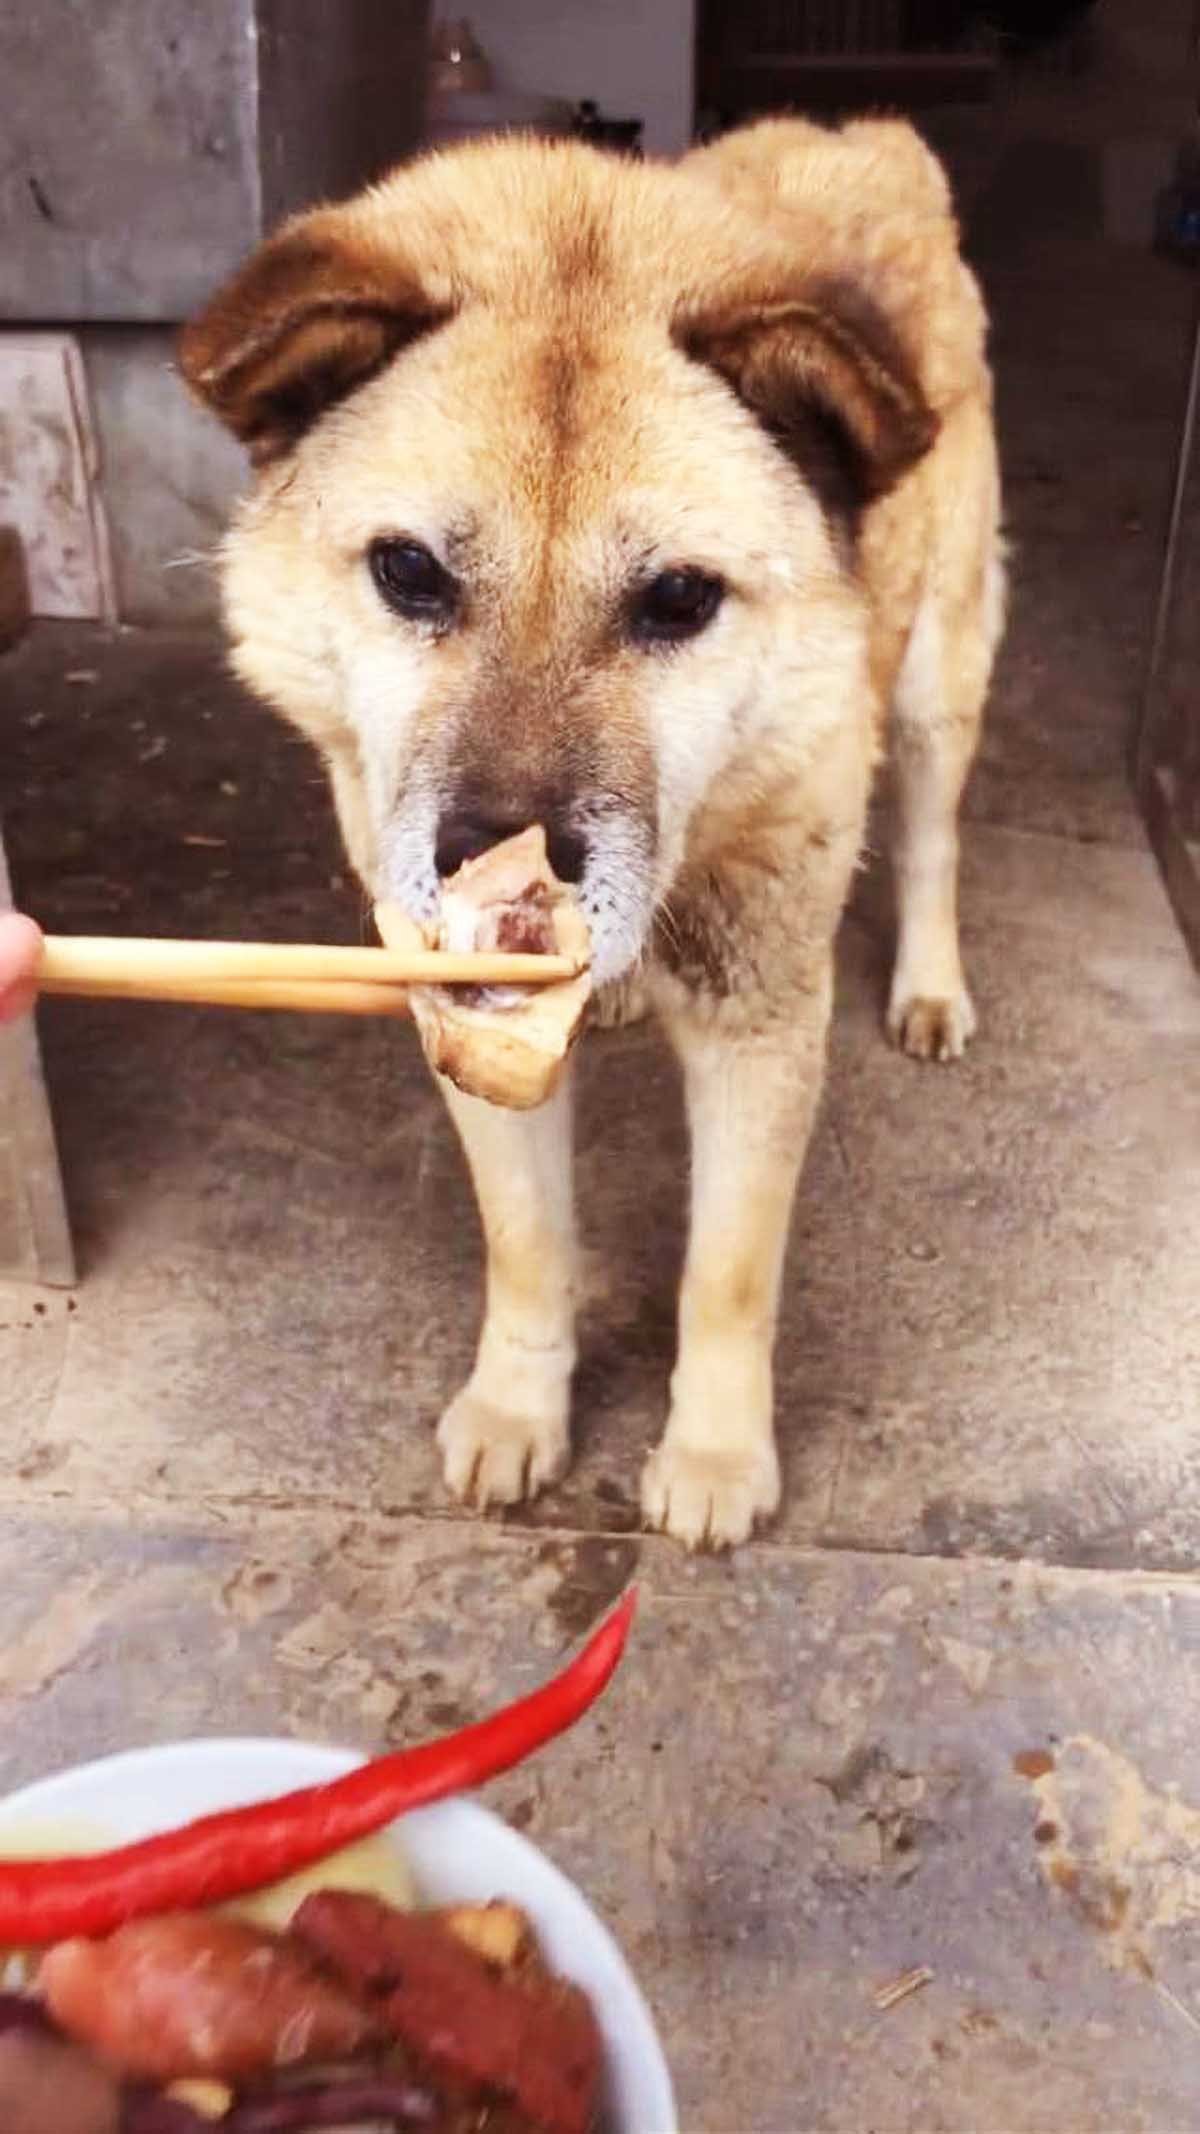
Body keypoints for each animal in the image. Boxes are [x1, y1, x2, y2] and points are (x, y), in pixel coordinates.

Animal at [177, 116, 999, 1553]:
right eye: (409, 571)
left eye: (677, 597)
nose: (492, 867)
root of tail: (856, 135)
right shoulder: (468, 1026)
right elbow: (527, 1245)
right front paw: (520, 1408)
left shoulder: (760, 1022)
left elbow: (727, 1274)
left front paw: (716, 1454)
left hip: (938, 672)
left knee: (933, 832)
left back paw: (931, 984)